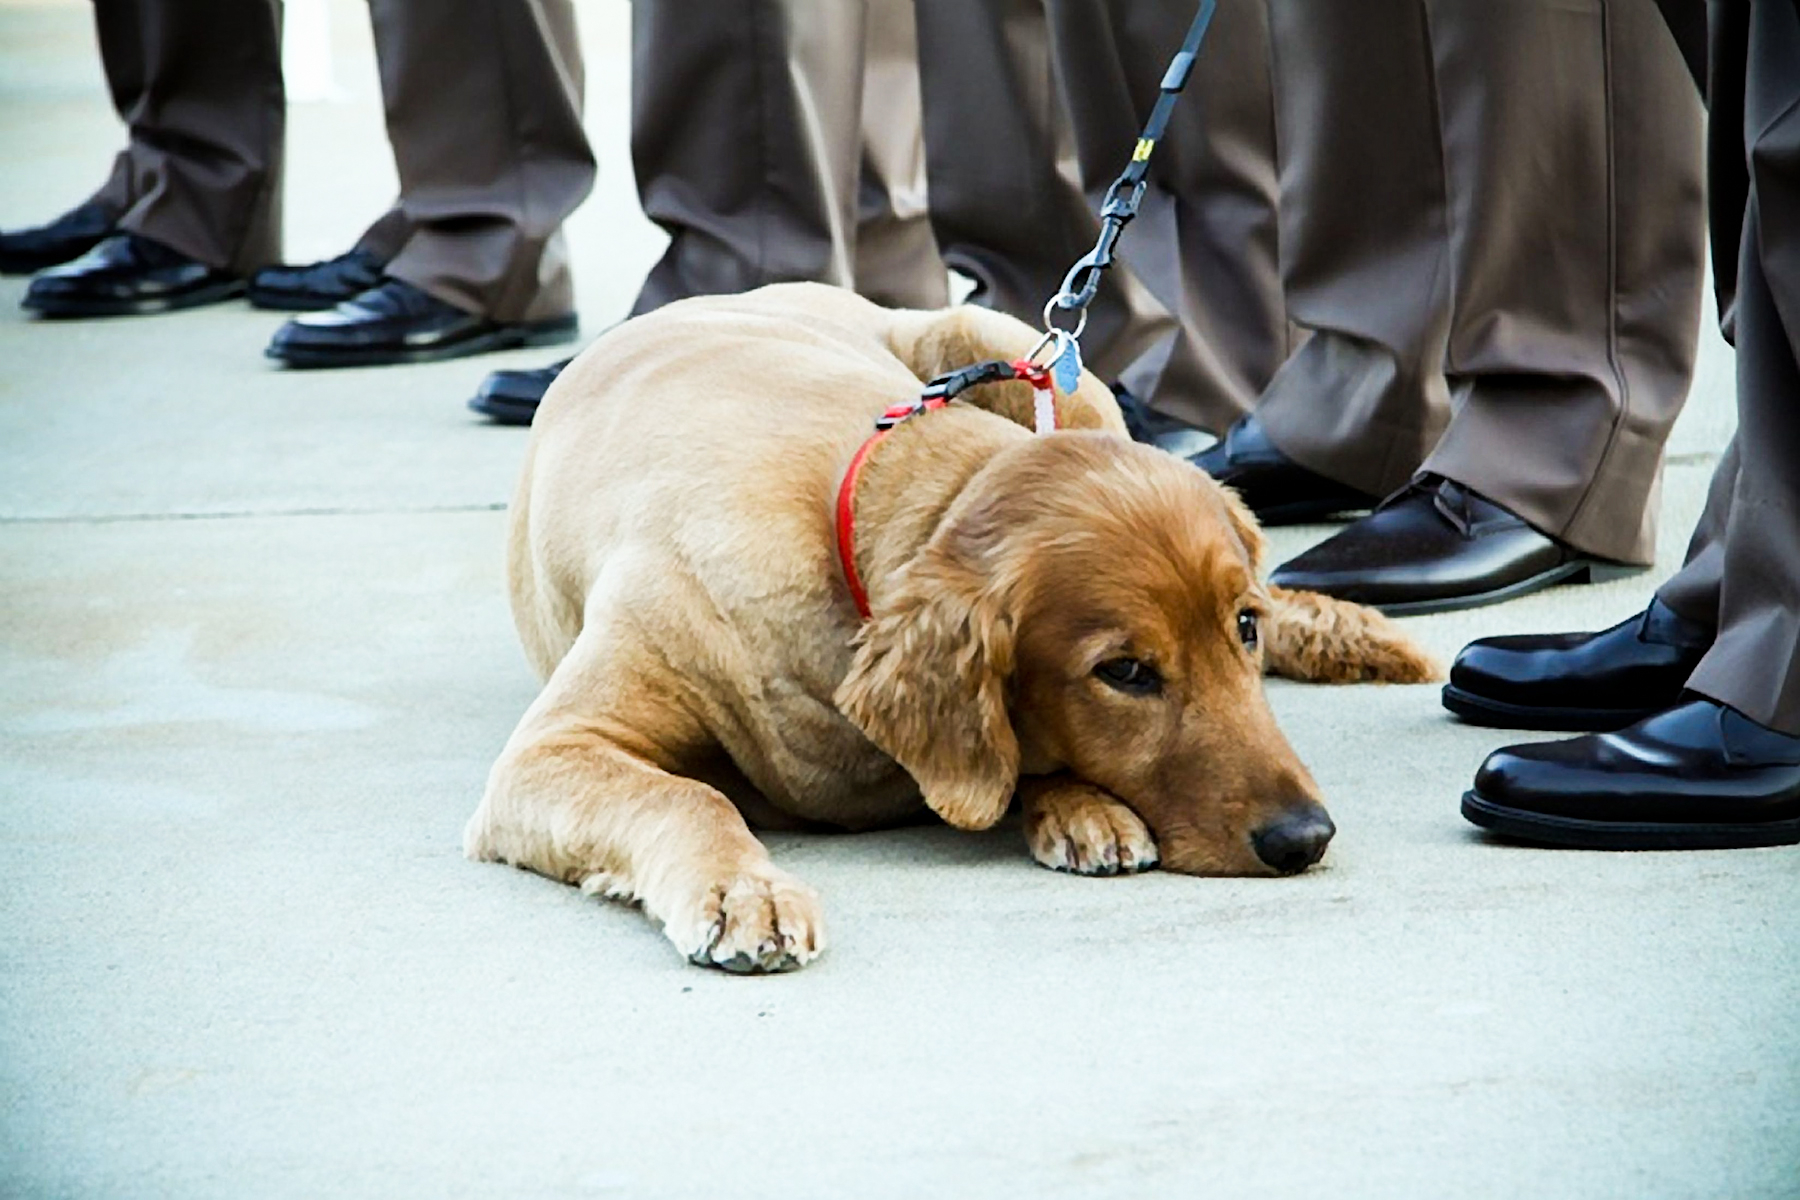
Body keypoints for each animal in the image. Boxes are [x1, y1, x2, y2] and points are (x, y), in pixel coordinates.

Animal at [460, 284, 1432, 978]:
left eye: (1244, 628)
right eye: (1124, 672)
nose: (1305, 839)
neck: (865, 508)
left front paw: (1073, 801)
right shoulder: (552, 750)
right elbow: (689, 795)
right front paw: (744, 889)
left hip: (1027, 357)